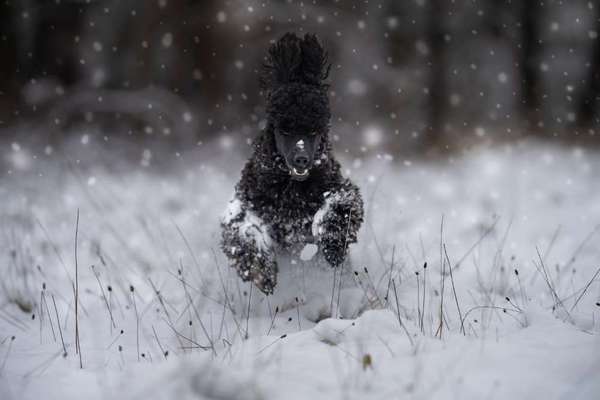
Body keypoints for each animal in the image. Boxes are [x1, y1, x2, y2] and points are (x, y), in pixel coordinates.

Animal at [219, 33, 364, 294]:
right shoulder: (242, 204)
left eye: (314, 130)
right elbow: (242, 230)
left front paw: (333, 245)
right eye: (284, 129)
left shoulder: (341, 190)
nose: (301, 158)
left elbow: (340, 206)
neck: (292, 187)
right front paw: (263, 272)